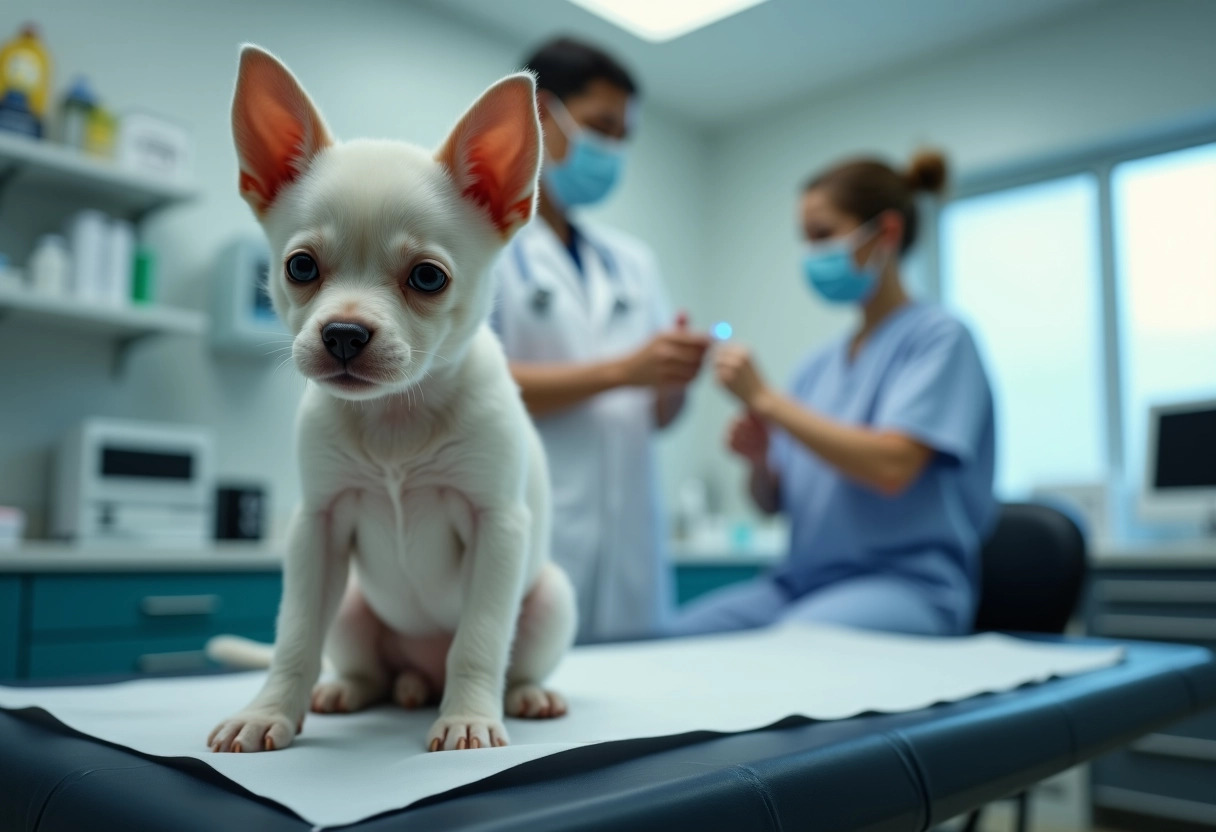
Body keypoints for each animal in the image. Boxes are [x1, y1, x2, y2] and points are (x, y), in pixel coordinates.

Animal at [206, 48, 576, 759]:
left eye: (427, 278)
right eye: (300, 267)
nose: (345, 333)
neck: (396, 417)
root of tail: (419, 678)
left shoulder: (497, 530)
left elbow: (480, 637)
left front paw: (468, 717)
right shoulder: (317, 530)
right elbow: (295, 636)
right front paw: (269, 711)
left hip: (550, 598)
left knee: (504, 658)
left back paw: (520, 696)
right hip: (352, 608)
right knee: (368, 667)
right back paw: (353, 690)